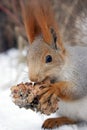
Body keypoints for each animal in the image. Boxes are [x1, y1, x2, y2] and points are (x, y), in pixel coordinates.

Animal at [20, 0, 87, 129]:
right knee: (74, 119)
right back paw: (56, 120)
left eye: (49, 58)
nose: (33, 78)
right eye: (27, 57)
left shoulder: (81, 73)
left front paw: (54, 88)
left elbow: (77, 89)